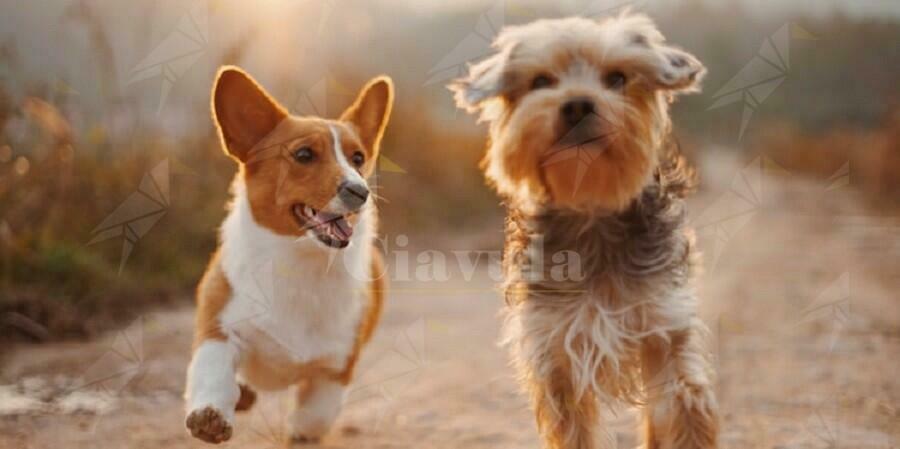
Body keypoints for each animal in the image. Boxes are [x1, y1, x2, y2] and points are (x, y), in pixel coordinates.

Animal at [185, 65, 392, 442]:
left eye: (358, 158)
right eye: (304, 155)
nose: (360, 191)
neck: (299, 263)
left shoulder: (334, 369)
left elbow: (314, 418)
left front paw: (300, 431)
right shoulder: (219, 327)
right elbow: (213, 370)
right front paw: (210, 416)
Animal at [454, 12, 720, 446]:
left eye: (617, 78)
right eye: (541, 81)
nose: (578, 103)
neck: (591, 211)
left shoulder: (664, 327)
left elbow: (682, 409)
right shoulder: (555, 348)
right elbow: (574, 429)